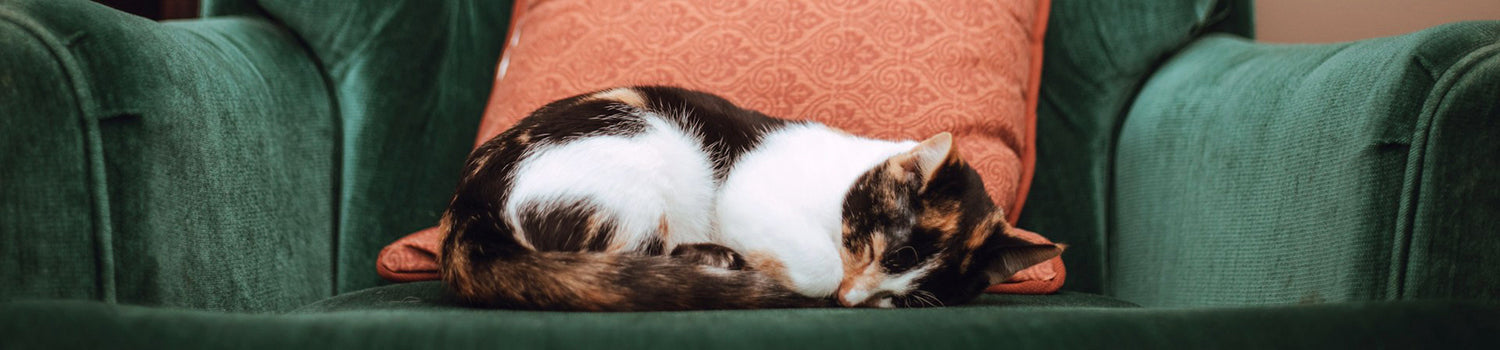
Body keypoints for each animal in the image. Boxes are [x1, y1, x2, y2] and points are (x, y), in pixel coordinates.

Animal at [438, 85, 1062, 310]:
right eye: (870, 248)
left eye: (901, 296)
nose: (850, 300)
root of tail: (470, 201)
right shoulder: (745, 190)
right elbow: (814, 264)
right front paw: (804, 279)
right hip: (651, 151)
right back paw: (721, 263)